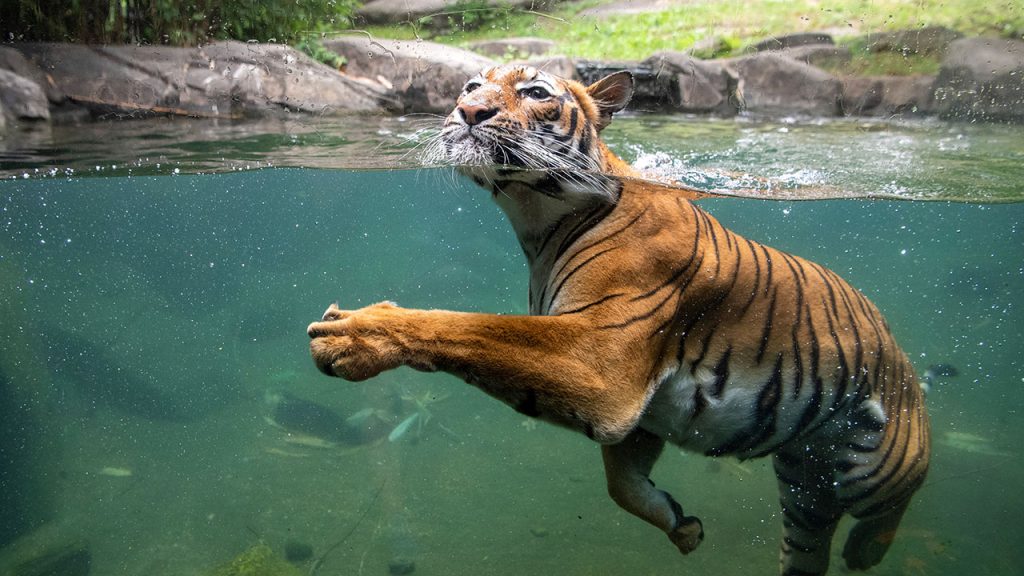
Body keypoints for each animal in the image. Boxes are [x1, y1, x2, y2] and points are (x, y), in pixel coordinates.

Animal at [307, 65, 933, 569]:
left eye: (535, 92)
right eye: (469, 86)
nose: (468, 110)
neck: (535, 220)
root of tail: (897, 345)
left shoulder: (599, 359)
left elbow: (465, 326)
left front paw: (351, 332)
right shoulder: (643, 407)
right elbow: (621, 484)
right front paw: (681, 525)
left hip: (876, 466)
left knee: (901, 494)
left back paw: (868, 549)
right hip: (805, 486)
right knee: (809, 545)